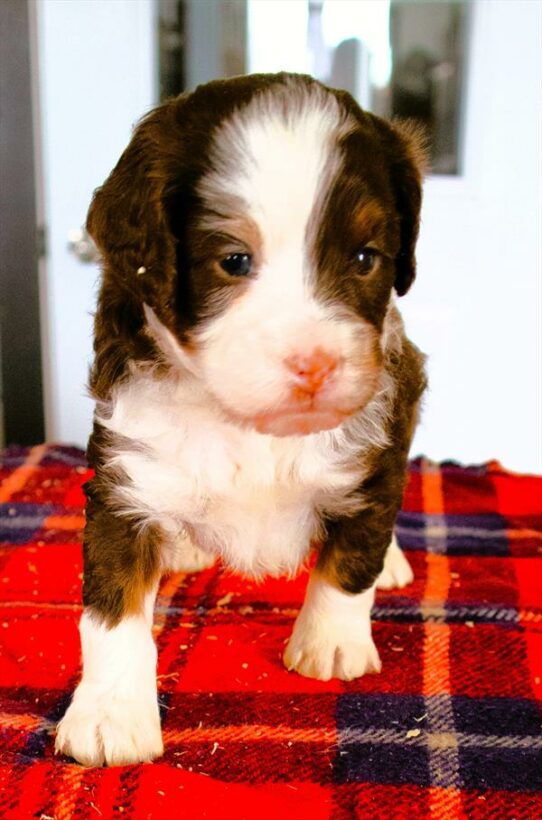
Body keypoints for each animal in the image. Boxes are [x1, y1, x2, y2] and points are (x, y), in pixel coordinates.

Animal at [55, 72, 430, 768]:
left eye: (366, 259)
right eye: (233, 260)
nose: (315, 364)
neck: (248, 426)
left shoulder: (381, 436)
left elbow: (354, 550)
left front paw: (330, 641)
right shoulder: (123, 475)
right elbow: (111, 611)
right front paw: (109, 715)